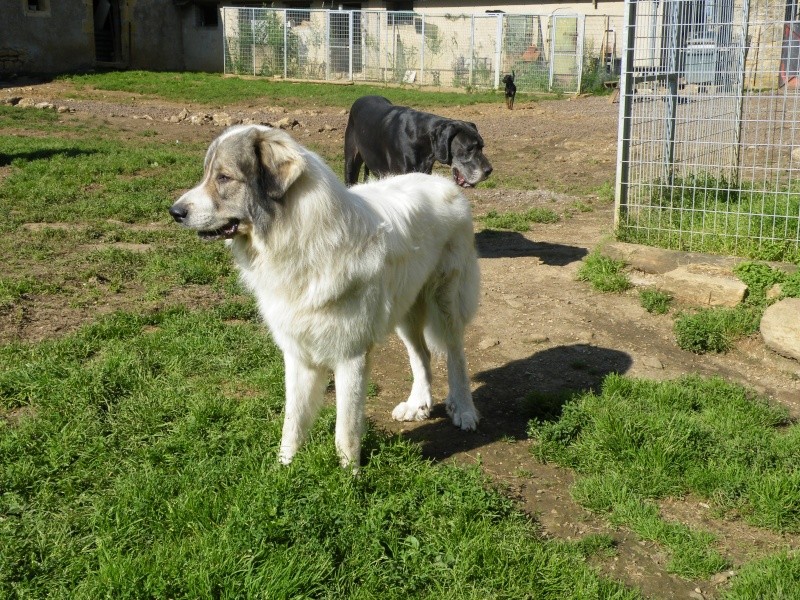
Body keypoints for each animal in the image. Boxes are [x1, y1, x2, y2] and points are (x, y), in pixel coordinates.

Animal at [168, 126, 478, 468]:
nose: (175, 212)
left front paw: (349, 475)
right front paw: (284, 468)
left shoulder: (351, 356)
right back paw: (417, 404)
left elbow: (345, 427)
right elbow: (293, 419)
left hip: (445, 301)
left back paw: (464, 411)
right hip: (406, 308)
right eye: (207, 174)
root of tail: (443, 183)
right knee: (421, 354)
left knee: (456, 355)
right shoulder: (297, 352)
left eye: (224, 177)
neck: (297, 240)